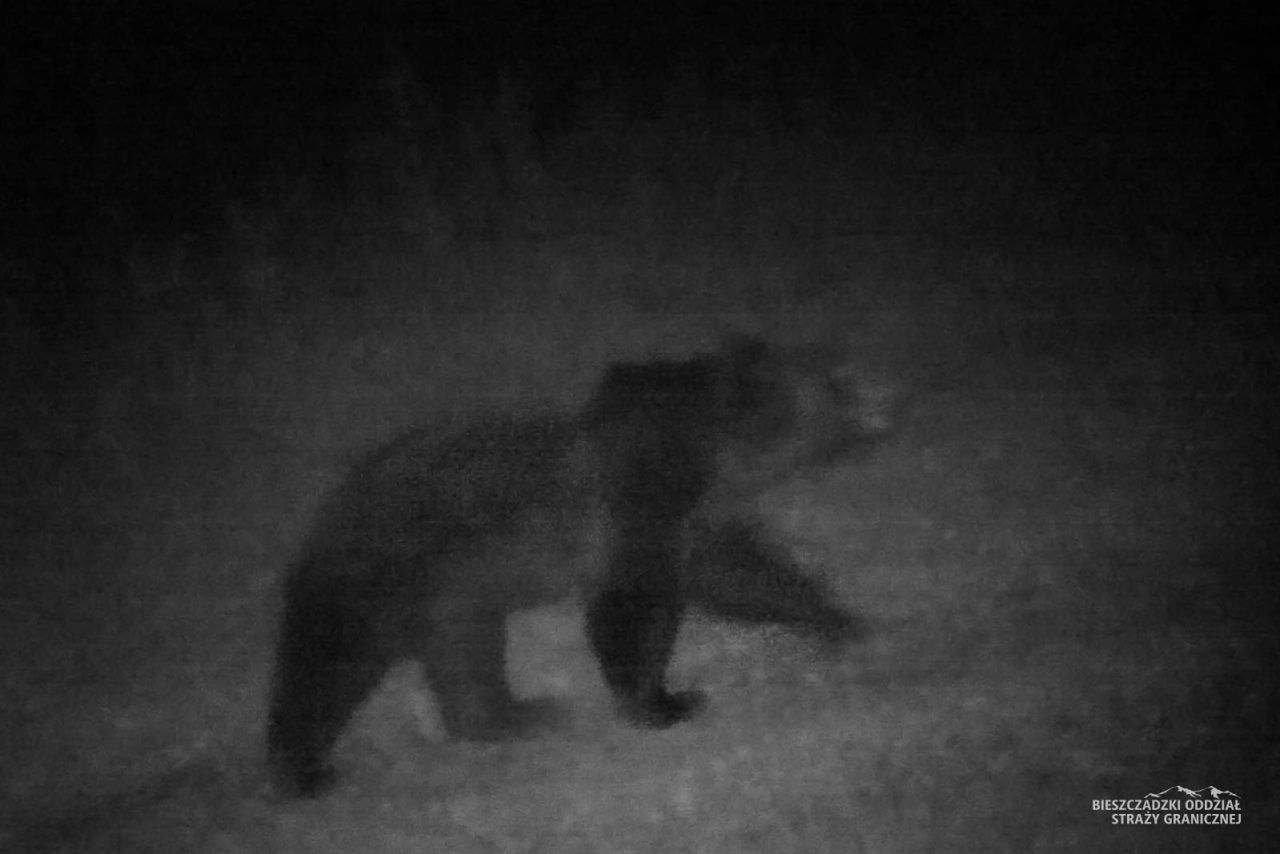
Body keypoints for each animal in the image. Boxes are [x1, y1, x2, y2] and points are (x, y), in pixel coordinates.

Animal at [264, 332, 896, 793]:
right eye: (837, 377)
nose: (885, 385)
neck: (713, 454)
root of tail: (322, 515)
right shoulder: (638, 500)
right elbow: (632, 602)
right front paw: (666, 703)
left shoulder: (698, 518)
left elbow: (740, 573)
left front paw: (837, 616)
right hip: (377, 576)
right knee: (326, 667)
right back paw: (301, 770)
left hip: (453, 600)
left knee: (466, 656)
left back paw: (518, 715)